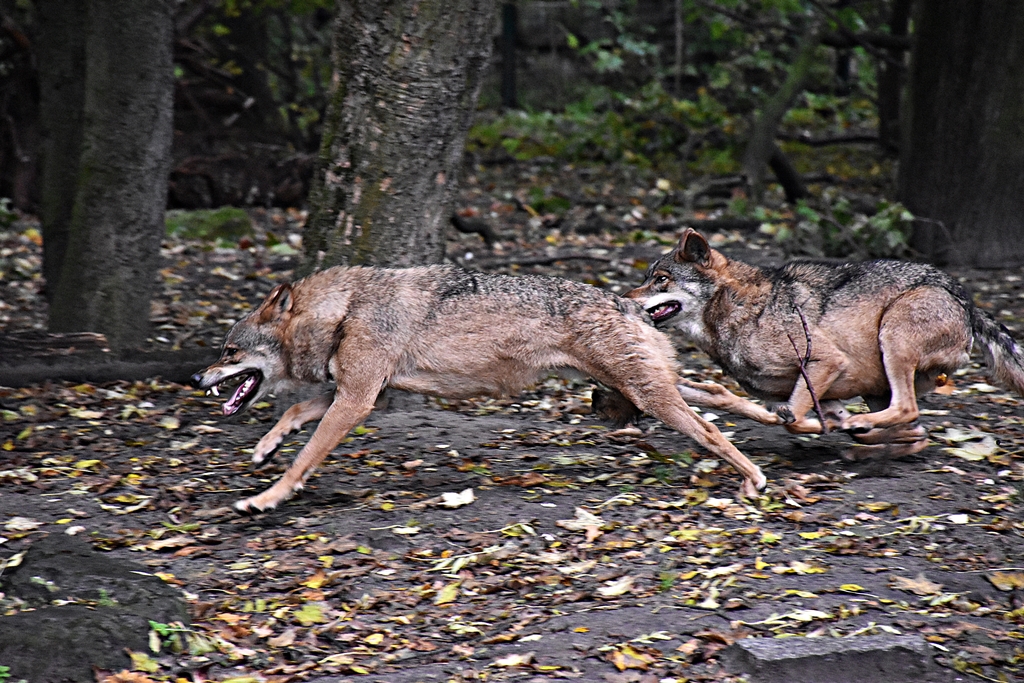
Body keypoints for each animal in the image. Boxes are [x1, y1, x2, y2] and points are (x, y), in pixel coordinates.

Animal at [191, 264, 781, 512]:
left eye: (228, 352)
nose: (196, 378)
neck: (343, 311)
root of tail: (628, 302)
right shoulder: (361, 396)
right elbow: (289, 419)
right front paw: (264, 450)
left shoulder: (357, 401)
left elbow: (302, 460)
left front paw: (265, 498)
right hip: (640, 391)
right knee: (717, 395)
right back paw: (775, 419)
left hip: (648, 398)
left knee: (710, 431)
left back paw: (754, 478)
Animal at [623, 228, 1024, 455]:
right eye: (646, 277)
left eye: (660, 279)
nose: (624, 298)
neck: (739, 308)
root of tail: (965, 298)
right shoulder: (825, 392)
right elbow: (802, 417)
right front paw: (835, 427)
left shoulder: (827, 361)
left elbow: (793, 420)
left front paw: (825, 427)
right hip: (879, 384)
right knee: (915, 431)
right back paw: (867, 441)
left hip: (893, 338)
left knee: (908, 411)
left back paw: (860, 431)